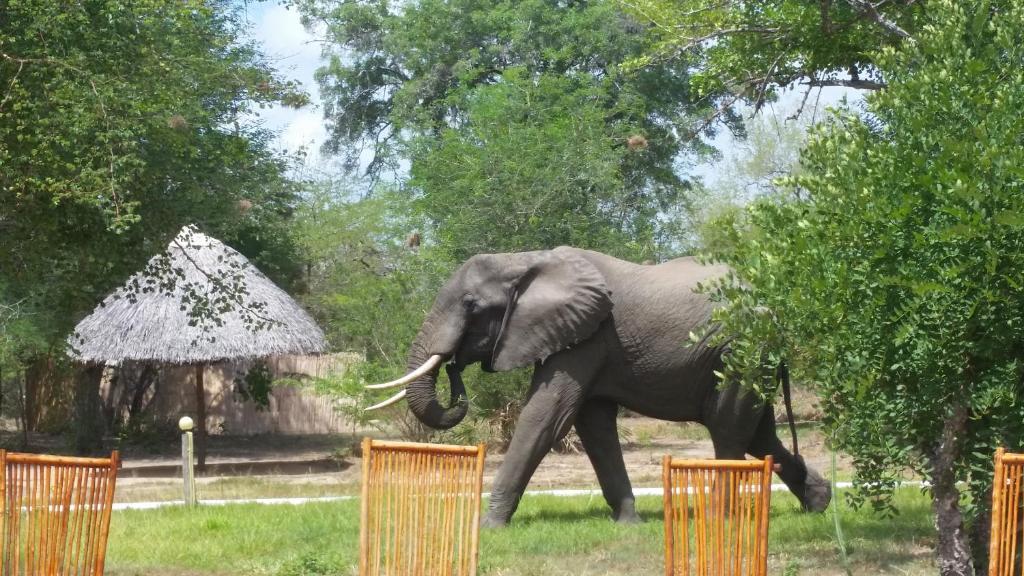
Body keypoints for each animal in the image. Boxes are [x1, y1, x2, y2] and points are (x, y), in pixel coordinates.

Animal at [368, 245, 831, 524]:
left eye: (471, 306)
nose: (455, 368)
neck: (523, 259)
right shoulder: (581, 338)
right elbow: (593, 426)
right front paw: (629, 523)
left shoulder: (586, 336)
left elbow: (547, 416)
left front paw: (490, 525)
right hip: (750, 357)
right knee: (758, 432)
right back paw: (819, 504)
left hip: (738, 351)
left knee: (728, 429)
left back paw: (719, 517)